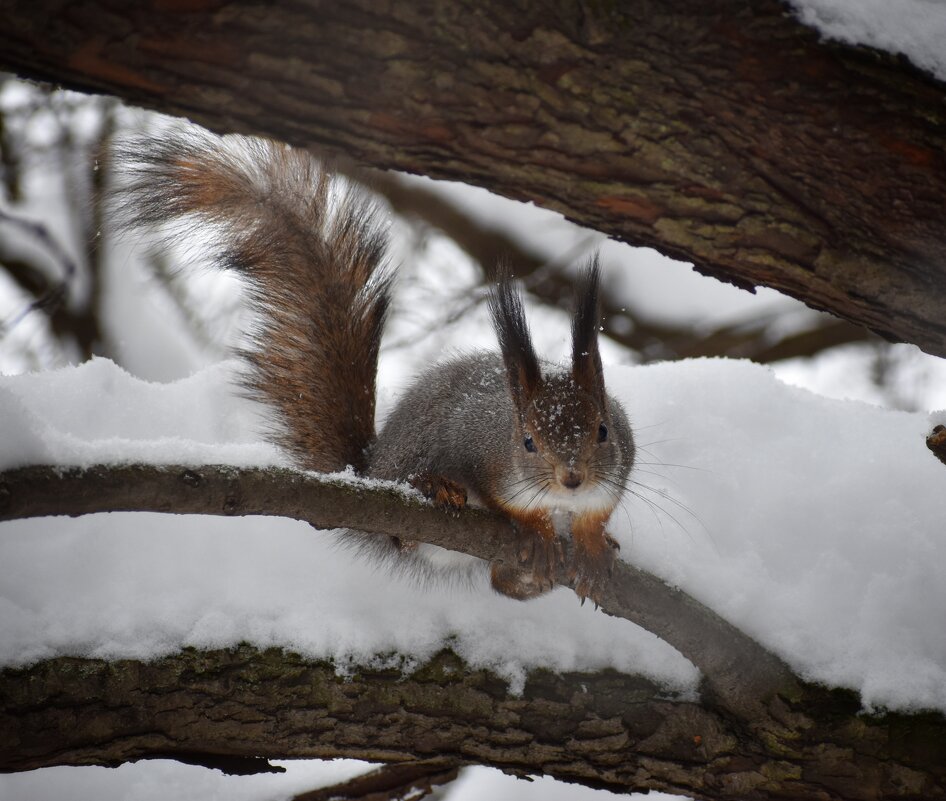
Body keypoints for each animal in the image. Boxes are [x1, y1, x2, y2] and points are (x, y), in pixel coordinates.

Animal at [118, 126, 636, 600]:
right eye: (527, 442)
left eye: (603, 431)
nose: (572, 478)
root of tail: (369, 470)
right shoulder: (479, 449)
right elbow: (510, 505)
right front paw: (537, 531)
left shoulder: (614, 475)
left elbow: (597, 514)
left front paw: (592, 544)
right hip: (407, 472)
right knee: (406, 532)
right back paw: (438, 490)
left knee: (500, 583)